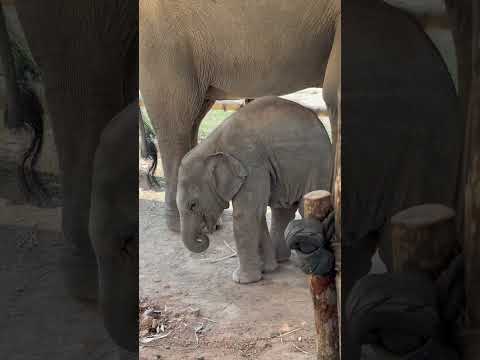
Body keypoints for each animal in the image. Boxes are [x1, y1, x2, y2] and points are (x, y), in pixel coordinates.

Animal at [178, 95, 332, 284]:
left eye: (193, 205)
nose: (205, 236)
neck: (213, 146)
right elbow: (257, 214)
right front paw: (267, 269)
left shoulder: (251, 165)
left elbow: (245, 215)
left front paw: (242, 280)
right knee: (282, 210)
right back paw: (280, 259)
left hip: (317, 168)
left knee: (303, 208)